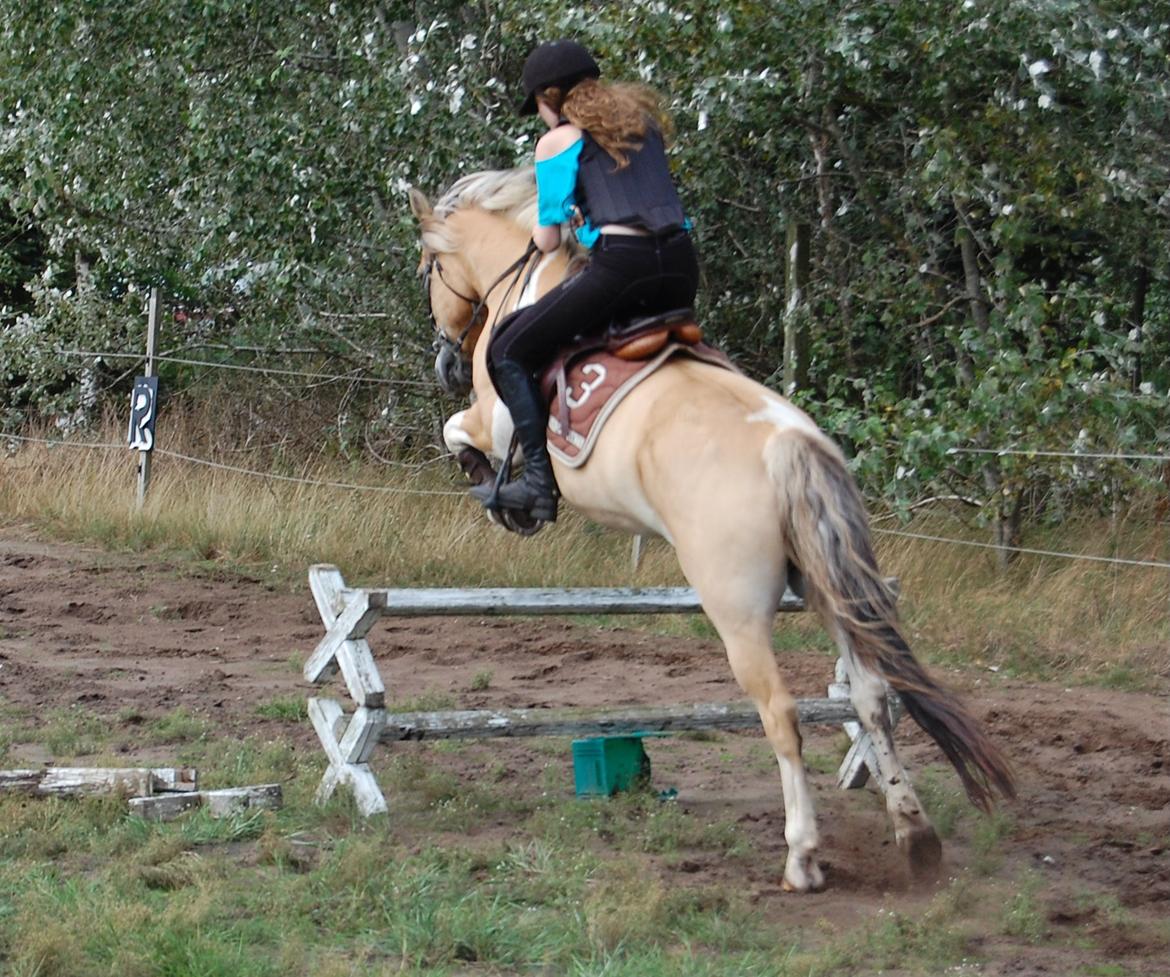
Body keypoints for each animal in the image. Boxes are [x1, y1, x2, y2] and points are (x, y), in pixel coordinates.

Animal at [411, 168, 1015, 893]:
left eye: (428, 270)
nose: (446, 361)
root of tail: (791, 446)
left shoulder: (495, 419)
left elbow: (459, 433)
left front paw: (509, 498)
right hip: (824, 585)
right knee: (871, 698)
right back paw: (914, 835)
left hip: (736, 607)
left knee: (781, 712)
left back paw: (802, 857)